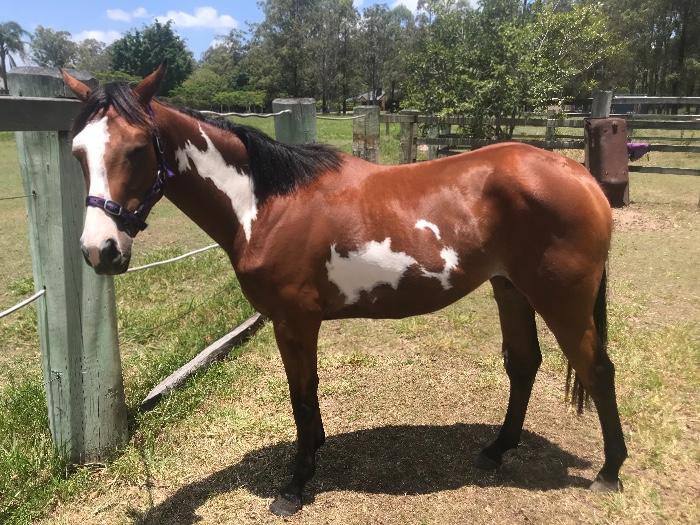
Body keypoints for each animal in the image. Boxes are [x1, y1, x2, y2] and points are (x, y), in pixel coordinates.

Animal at [61, 65, 627, 516]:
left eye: (137, 149)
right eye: (77, 153)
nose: (100, 251)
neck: (265, 204)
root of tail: (579, 175)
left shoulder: (293, 320)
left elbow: (300, 394)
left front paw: (295, 484)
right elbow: (307, 393)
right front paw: (313, 455)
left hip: (562, 299)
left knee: (598, 370)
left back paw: (609, 472)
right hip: (510, 289)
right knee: (524, 364)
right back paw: (496, 450)